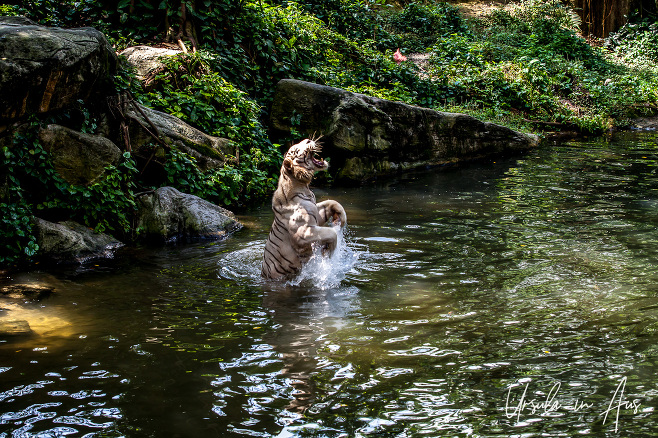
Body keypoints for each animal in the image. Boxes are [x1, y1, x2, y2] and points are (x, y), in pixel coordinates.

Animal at [260, 139, 346, 278]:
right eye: (296, 150)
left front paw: (340, 218)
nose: (308, 140)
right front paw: (328, 252)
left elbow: (332, 202)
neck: (303, 187)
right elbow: (331, 233)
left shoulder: (315, 212)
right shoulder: (302, 233)